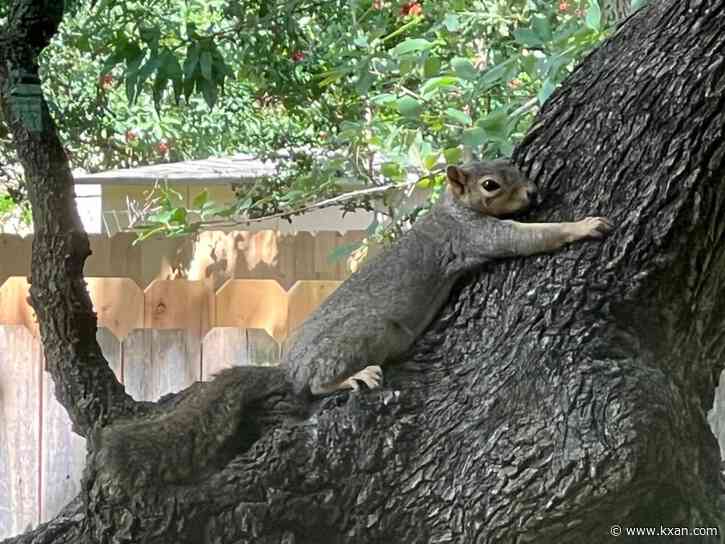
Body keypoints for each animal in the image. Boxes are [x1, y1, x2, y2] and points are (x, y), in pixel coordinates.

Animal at [284, 159, 613, 397]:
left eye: (515, 167)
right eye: (490, 185)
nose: (532, 193)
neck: (453, 207)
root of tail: (290, 368)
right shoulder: (472, 234)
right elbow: (525, 237)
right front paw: (584, 226)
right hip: (361, 334)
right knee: (316, 385)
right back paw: (352, 377)